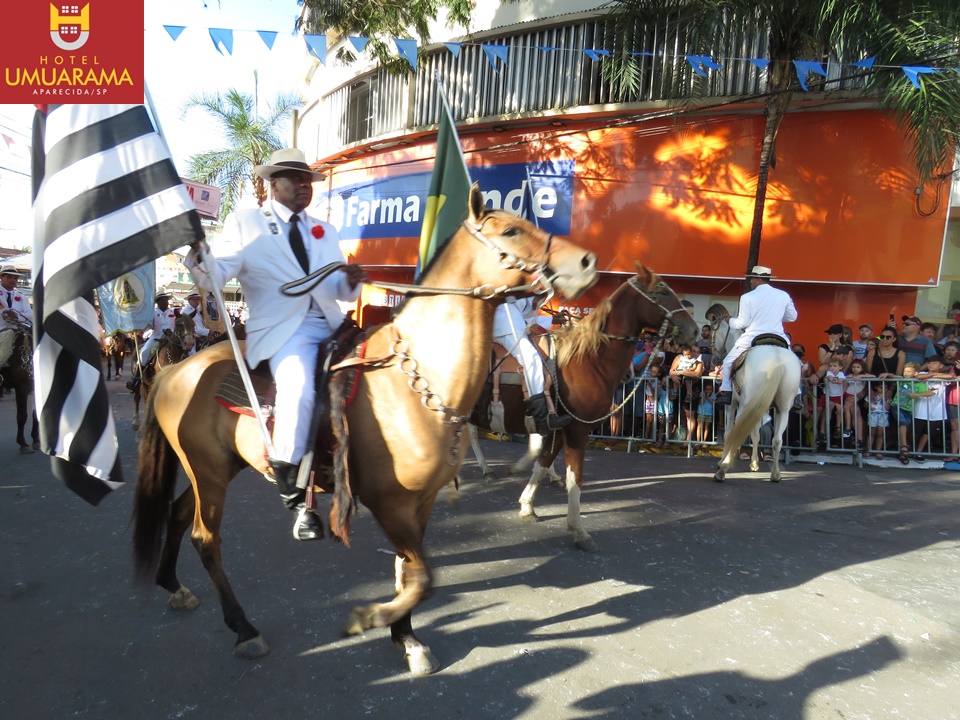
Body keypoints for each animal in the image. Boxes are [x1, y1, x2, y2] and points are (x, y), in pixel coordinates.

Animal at [131, 183, 598, 674]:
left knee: (178, 514)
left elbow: (408, 570)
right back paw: (245, 629)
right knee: (205, 538)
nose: (586, 262)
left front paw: (405, 636)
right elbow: (422, 576)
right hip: (210, 474)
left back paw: (175, 586)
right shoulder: (389, 501)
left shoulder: (420, 502)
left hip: (216, 469)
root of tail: (178, 369)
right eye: (510, 231)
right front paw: (373, 618)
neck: (415, 377)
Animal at [467, 264, 698, 551]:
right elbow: (574, 479)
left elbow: (541, 464)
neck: (587, 359)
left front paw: (527, 505)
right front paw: (578, 530)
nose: (694, 330)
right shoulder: (578, 429)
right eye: (662, 291)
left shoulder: (558, 427)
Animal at [707, 307, 801, 483]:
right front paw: (755, 464)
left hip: (746, 404)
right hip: (783, 408)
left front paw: (722, 461)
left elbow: (730, 432)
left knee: (738, 432)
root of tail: (777, 359)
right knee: (777, 440)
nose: (714, 358)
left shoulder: (733, 404)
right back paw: (775, 474)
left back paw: (723, 470)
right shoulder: (761, 406)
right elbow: (756, 433)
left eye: (711, 334)